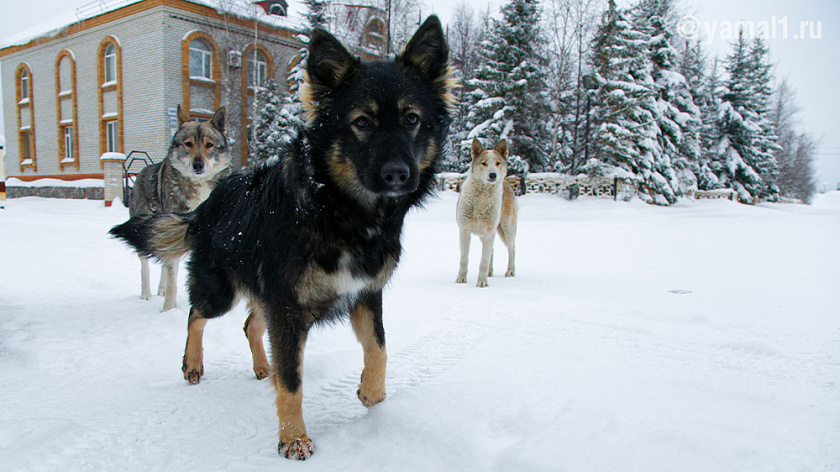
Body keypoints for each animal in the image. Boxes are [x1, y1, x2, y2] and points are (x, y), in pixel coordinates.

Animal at [110, 16, 456, 460]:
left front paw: (369, 392)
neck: (340, 211)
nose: (399, 174)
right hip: (221, 291)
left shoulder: (362, 293)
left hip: (263, 292)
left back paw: (263, 367)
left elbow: (379, 348)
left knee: (249, 326)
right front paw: (293, 438)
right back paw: (193, 364)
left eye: (412, 119)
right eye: (362, 122)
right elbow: (293, 381)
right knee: (195, 315)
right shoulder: (289, 308)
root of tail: (208, 204)